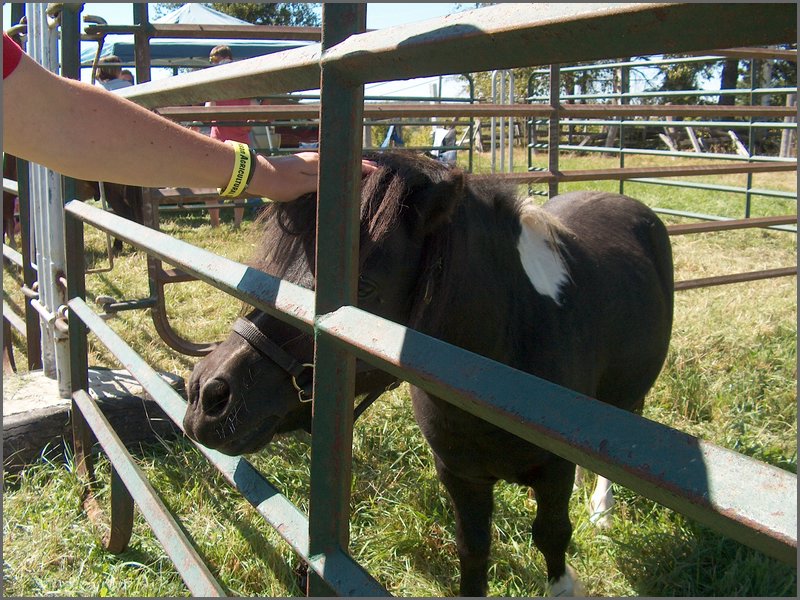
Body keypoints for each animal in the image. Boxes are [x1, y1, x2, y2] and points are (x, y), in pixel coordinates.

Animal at [184, 151, 672, 596]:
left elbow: (552, 536)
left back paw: (602, 508)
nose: (206, 395)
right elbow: (473, 550)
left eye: (363, 288)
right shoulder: (460, 474)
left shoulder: (554, 471)